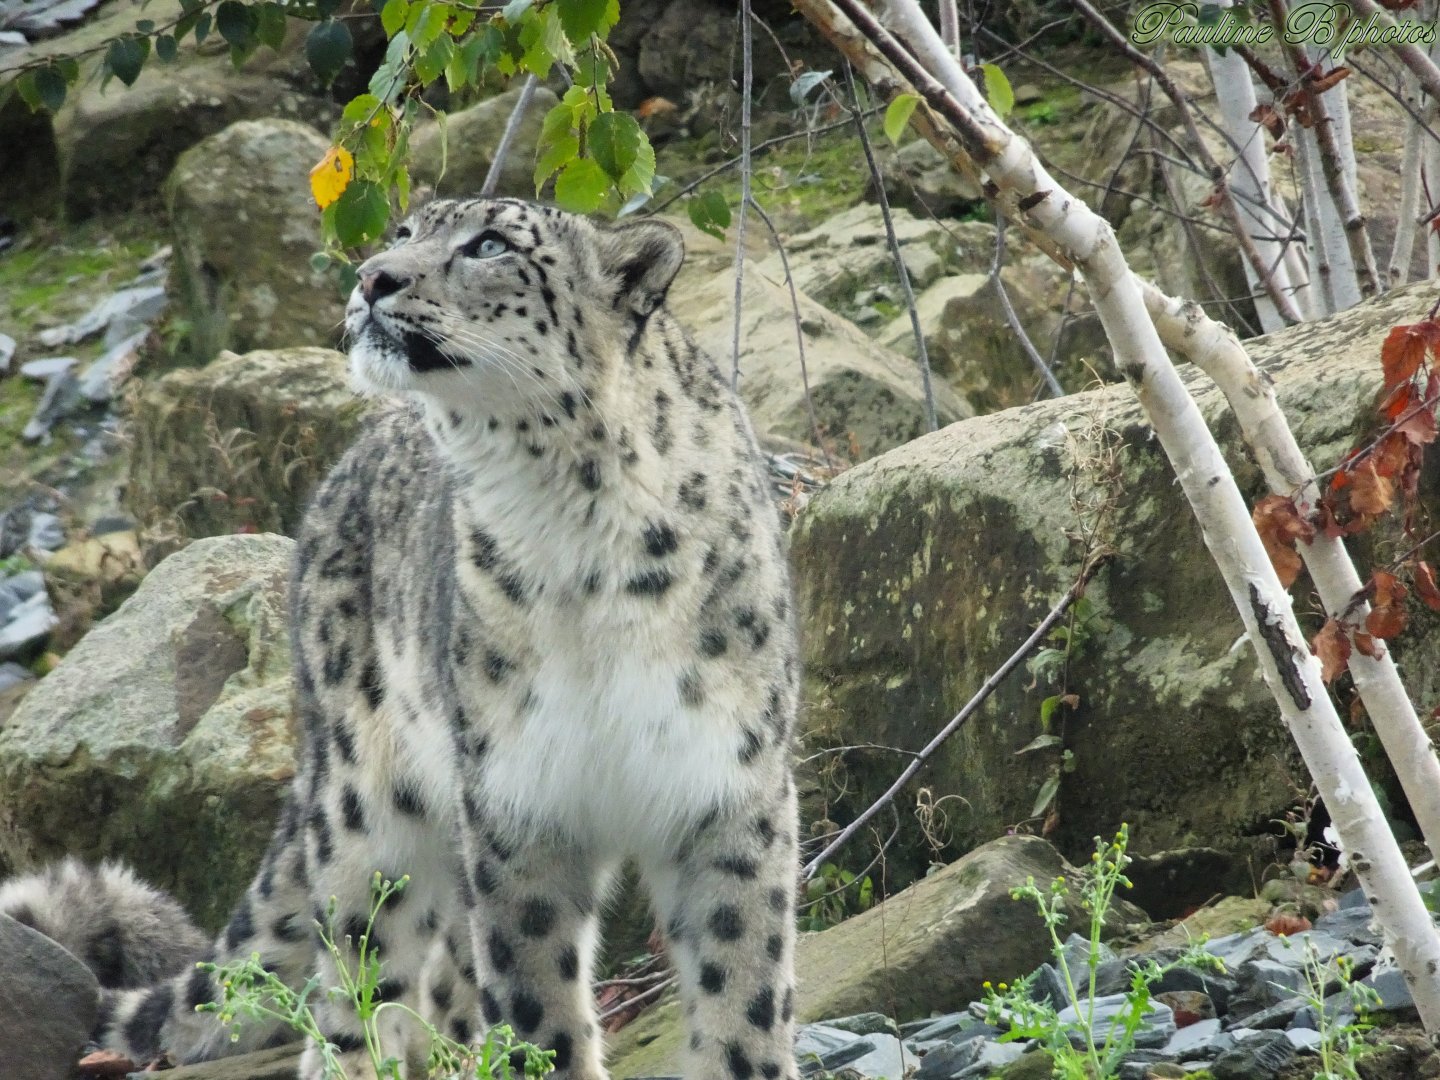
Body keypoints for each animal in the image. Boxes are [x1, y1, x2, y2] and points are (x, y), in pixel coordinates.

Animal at [86, 197, 802, 1080]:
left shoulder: (726, 788)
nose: (371, 277)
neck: (575, 528)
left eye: (490, 245)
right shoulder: (516, 804)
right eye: (402, 234)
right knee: (355, 979)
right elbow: (536, 1003)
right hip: (366, 810)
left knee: (441, 984)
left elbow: (741, 983)